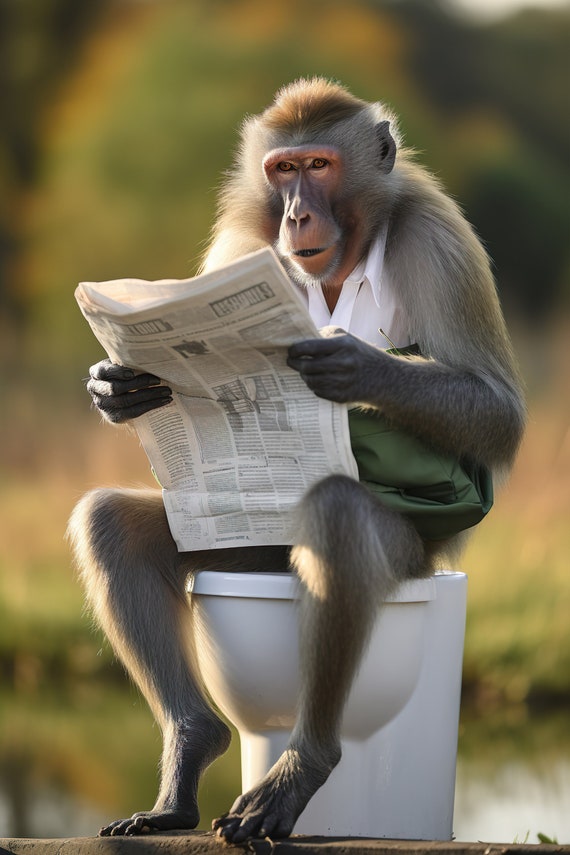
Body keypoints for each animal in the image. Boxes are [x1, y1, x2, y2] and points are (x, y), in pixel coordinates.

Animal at [68, 78, 525, 843]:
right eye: (282, 169)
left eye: (318, 165)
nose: (295, 214)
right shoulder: (240, 247)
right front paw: (116, 386)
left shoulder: (437, 238)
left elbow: (500, 412)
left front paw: (352, 363)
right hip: (242, 541)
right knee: (115, 523)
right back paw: (191, 753)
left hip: (416, 553)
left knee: (338, 515)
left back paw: (298, 771)